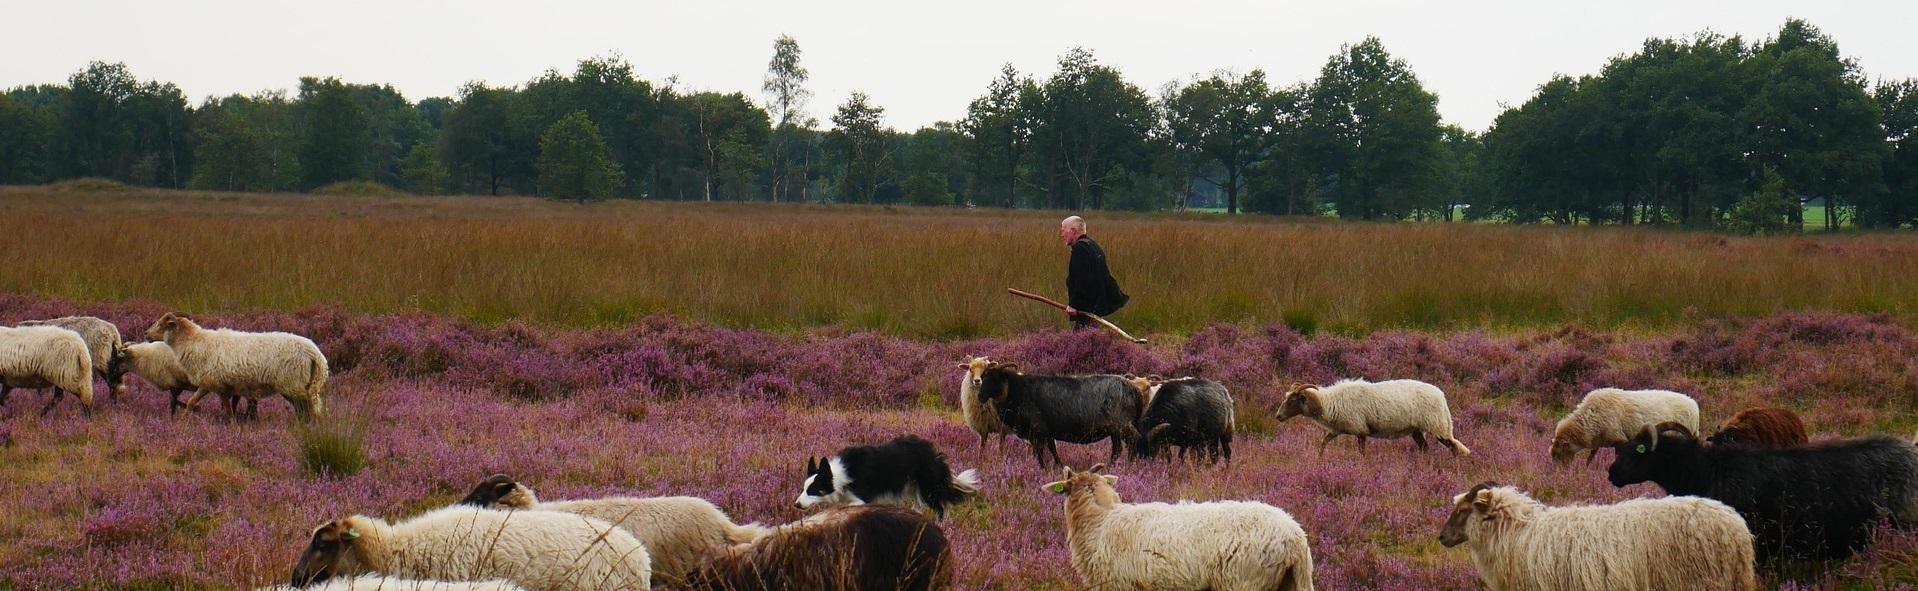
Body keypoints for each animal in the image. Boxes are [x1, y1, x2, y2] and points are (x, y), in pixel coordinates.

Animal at [145, 312, 327, 421]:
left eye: (161, 324)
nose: (146, 334)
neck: (194, 343)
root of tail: (316, 354)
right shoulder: (221, 386)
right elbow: (224, 407)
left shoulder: (210, 382)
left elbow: (193, 402)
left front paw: (183, 420)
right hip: (300, 385)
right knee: (307, 407)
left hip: (293, 384)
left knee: (309, 407)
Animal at [975, 360, 1145, 468]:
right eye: (982, 377)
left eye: (995, 378)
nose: (980, 397)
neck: (1016, 391)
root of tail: (1135, 391)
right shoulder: (1047, 431)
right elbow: (1052, 449)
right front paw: (1059, 466)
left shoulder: (1037, 429)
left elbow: (1039, 453)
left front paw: (1042, 469)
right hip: (1114, 429)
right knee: (1117, 450)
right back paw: (1110, 467)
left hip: (1122, 424)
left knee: (1134, 440)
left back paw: (1129, 466)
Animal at [1275, 379, 1470, 456]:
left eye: (1293, 400)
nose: (1278, 416)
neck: (1329, 402)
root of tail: (1441, 396)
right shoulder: (1339, 429)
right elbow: (1324, 442)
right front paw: (1319, 459)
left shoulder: (1359, 429)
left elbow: (1361, 451)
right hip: (1417, 431)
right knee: (1425, 448)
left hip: (1438, 426)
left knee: (1453, 447)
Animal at [1549, 387, 1698, 465]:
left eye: (1559, 455)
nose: (1561, 474)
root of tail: (1693, 404)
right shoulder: (1599, 442)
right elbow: (1590, 459)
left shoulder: (1619, 440)